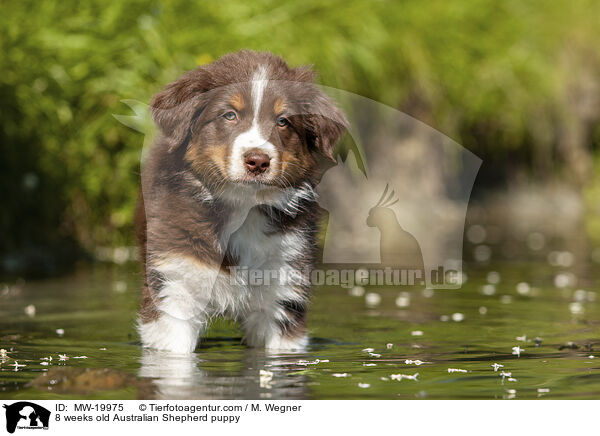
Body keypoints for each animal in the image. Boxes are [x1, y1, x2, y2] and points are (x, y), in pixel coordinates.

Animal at [135, 49, 346, 352]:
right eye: (229, 115)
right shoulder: (176, 283)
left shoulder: (283, 287)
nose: (258, 161)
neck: (244, 209)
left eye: (283, 121)